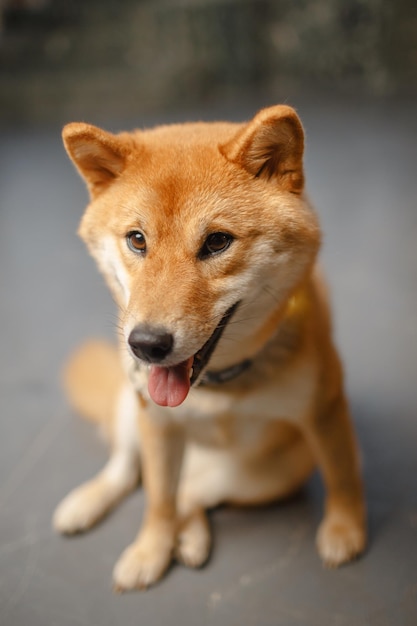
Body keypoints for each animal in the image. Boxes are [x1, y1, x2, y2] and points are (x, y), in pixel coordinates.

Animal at [53, 105, 366, 588]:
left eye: (217, 241)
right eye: (137, 239)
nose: (146, 344)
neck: (218, 386)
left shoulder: (325, 410)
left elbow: (342, 475)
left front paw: (345, 530)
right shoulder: (157, 424)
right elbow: (158, 501)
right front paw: (151, 550)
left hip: (274, 470)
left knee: (192, 492)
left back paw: (192, 539)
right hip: (131, 407)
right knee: (130, 471)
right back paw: (88, 502)